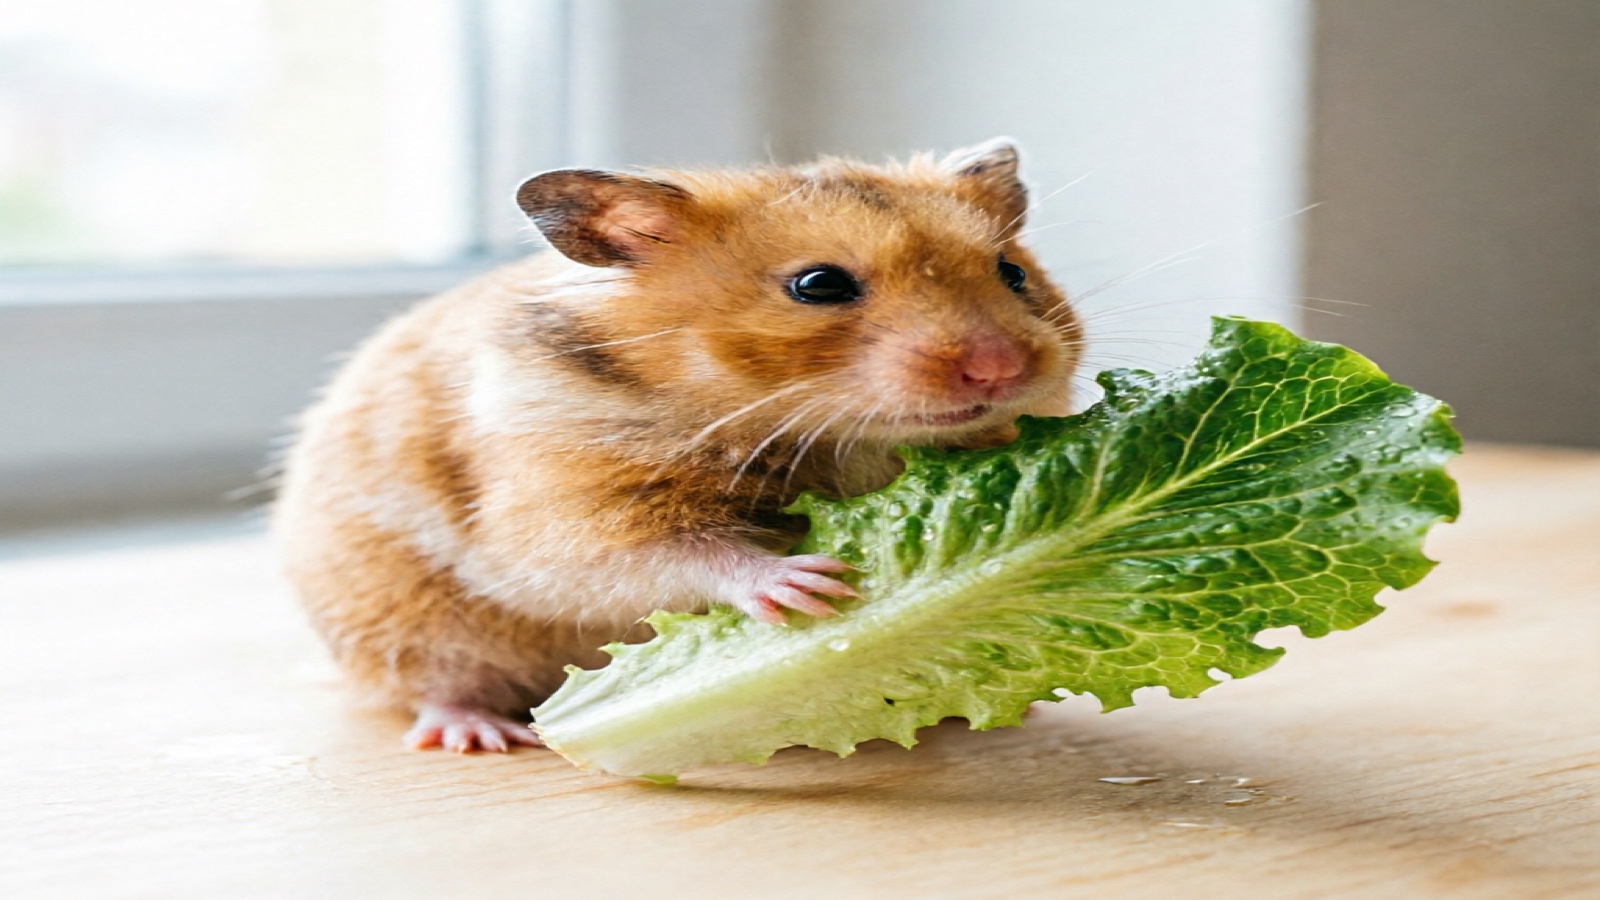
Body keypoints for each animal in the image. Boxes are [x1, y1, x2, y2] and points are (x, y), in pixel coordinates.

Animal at [273, 138, 1083, 752]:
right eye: (818, 285)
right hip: (405, 618)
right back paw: (484, 736)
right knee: (436, 685)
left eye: (1012, 272)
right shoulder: (567, 511)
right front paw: (810, 586)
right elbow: (675, 553)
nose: (1000, 369)